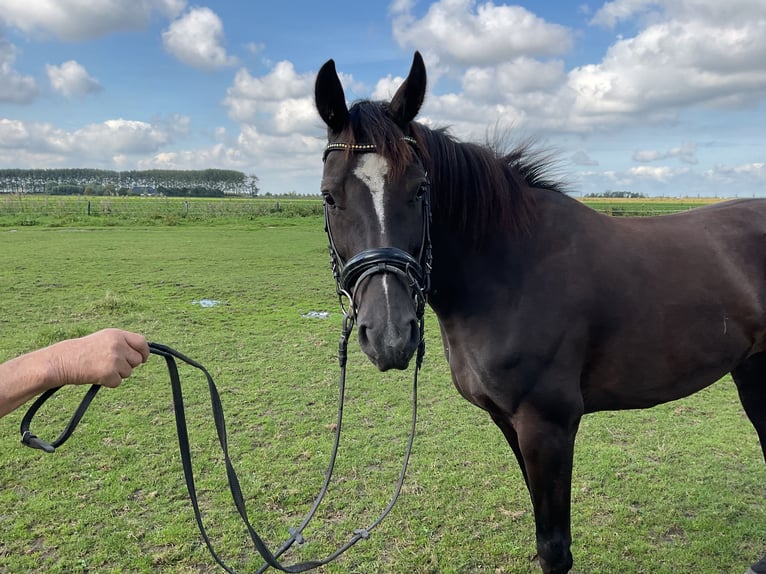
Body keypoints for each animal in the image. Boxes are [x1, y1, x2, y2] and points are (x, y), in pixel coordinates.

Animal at [312, 51, 766, 572]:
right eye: (329, 195)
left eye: (421, 189)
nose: (390, 335)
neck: (511, 269)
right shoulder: (508, 422)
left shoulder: (548, 426)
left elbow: (554, 549)